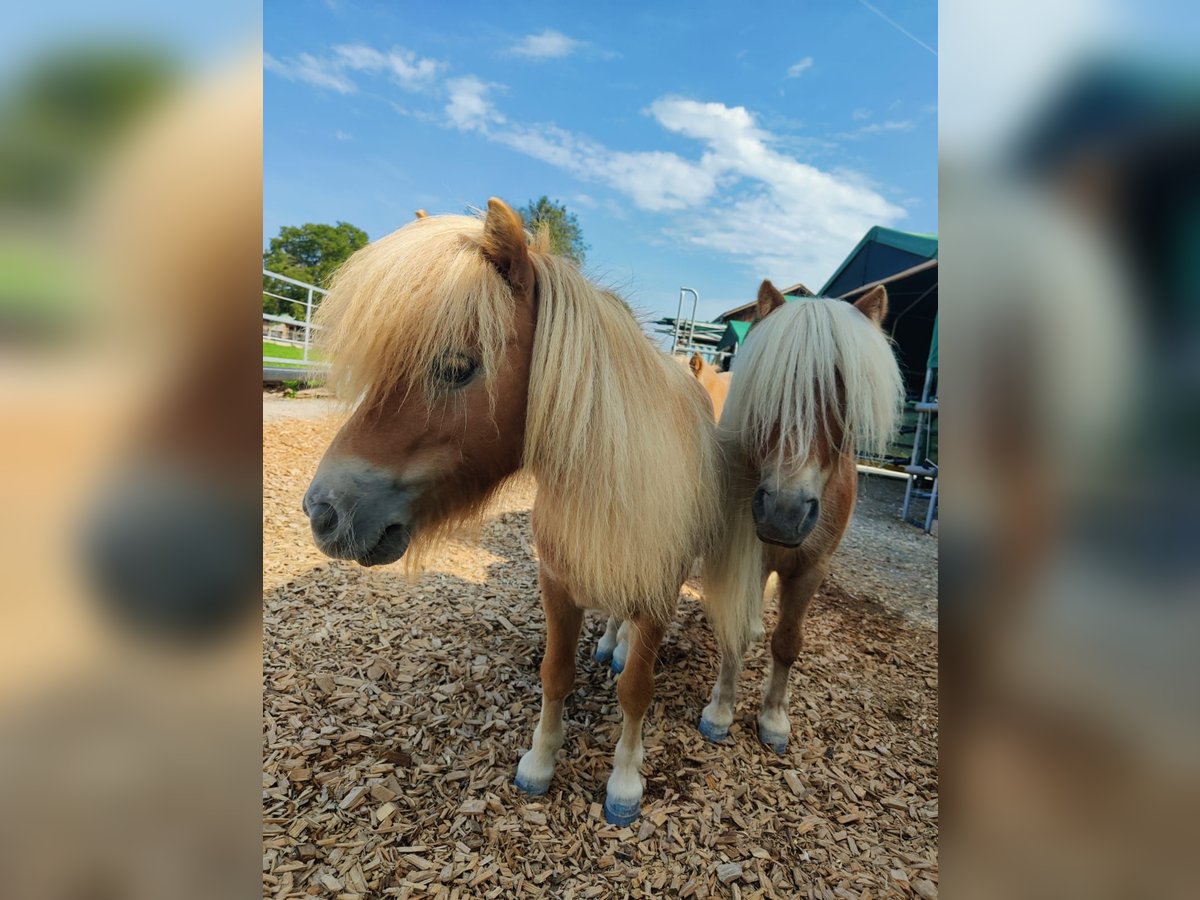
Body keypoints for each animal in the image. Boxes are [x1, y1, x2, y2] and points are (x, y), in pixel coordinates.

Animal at [300, 200, 744, 830]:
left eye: (456, 366)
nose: (323, 511)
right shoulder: (556, 582)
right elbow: (555, 673)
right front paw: (539, 760)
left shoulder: (659, 590)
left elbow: (637, 689)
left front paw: (625, 781)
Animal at [696, 282, 902, 753]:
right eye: (770, 388)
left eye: (846, 395)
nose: (784, 512)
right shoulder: (747, 554)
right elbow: (735, 624)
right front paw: (720, 710)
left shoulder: (812, 567)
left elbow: (788, 642)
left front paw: (773, 718)